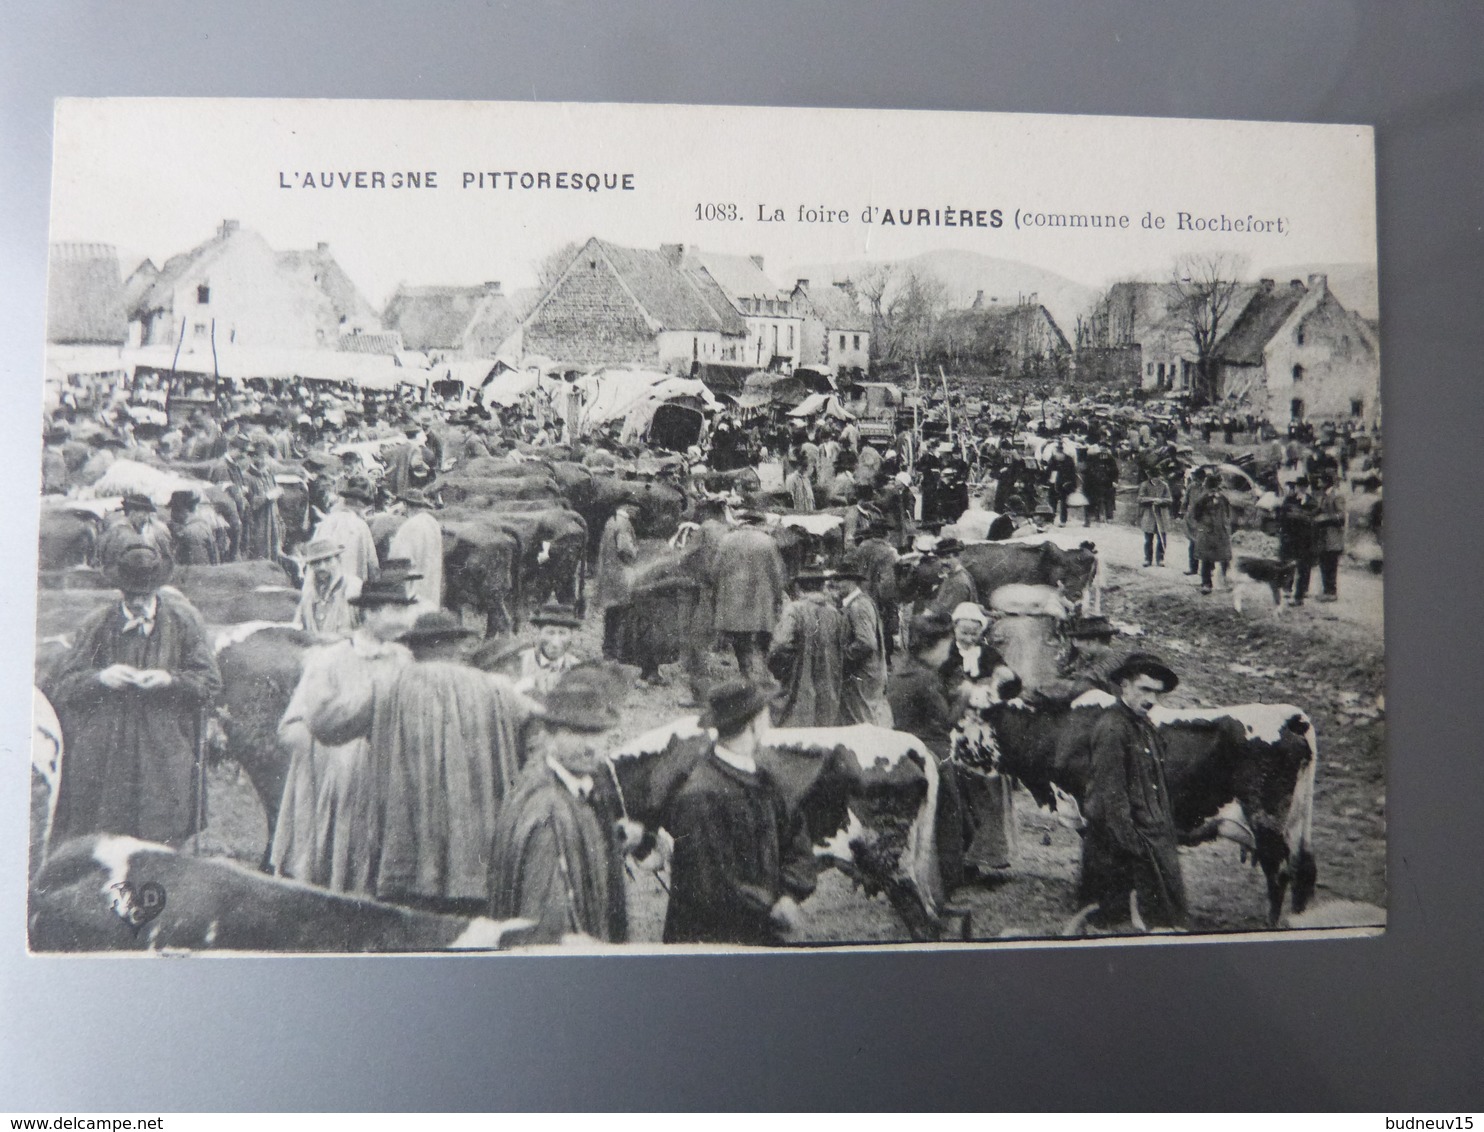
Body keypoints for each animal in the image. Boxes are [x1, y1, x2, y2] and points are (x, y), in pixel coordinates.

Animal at [973, 682, 1323, 931]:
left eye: (976, 721)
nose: (961, 750)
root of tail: (1292, 717)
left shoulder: (1093, 813)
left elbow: (1100, 862)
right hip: (1296, 825)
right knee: (1303, 870)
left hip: (1267, 824)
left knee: (1279, 874)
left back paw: (1272, 922)